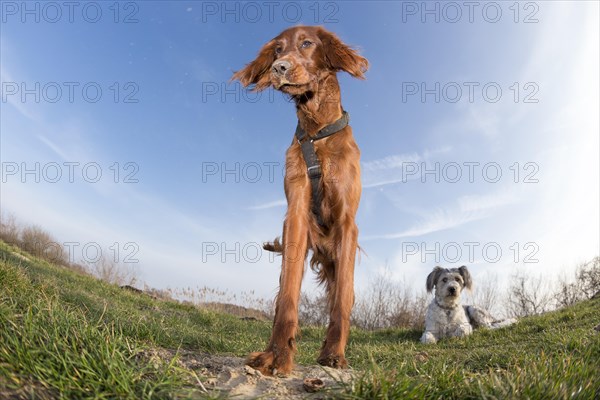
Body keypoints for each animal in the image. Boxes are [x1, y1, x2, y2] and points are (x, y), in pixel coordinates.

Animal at [232, 25, 368, 376]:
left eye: (307, 43)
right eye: (278, 50)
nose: (279, 68)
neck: (318, 131)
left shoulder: (347, 223)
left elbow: (341, 301)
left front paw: (334, 354)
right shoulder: (295, 215)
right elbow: (287, 294)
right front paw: (276, 355)